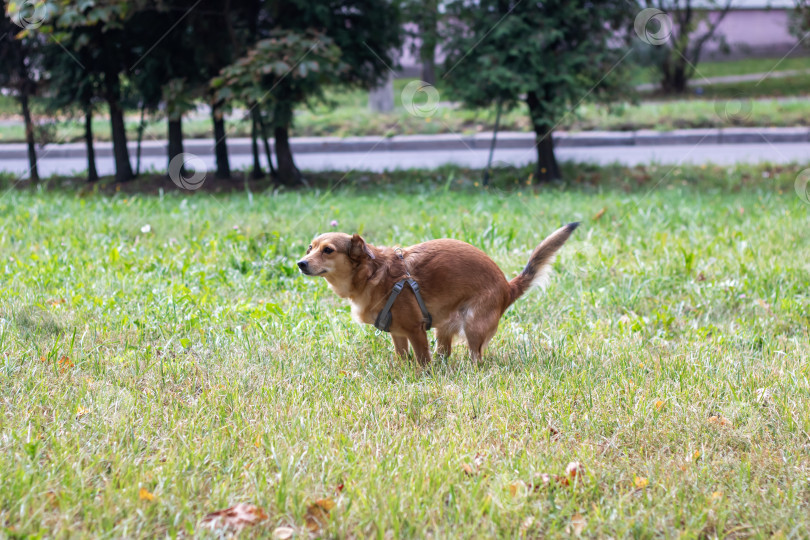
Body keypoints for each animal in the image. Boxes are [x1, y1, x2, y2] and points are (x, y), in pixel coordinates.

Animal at [300, 221, 576, 364]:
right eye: (309, 248)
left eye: (328, 250)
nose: (300, 263)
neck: (372, 274)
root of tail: (507, 287)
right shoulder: (398, 334)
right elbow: (403, 357)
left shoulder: (415, 330)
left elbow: (423, 359)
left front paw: (422, 376)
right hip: (444, 329)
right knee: (446, 353)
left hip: (473, 325)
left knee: (476, 358)